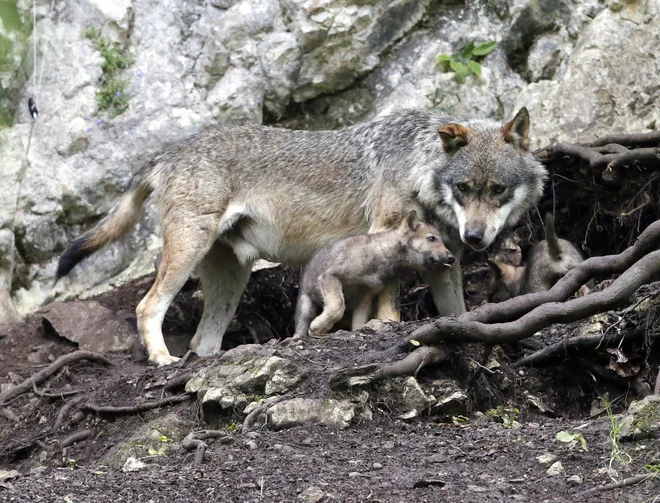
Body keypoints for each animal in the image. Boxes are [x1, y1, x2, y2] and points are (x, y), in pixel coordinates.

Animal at [55, 107, 548, 366]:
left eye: (496, 190)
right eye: (464, 188)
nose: (476, 236)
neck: (419, 164)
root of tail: (170, 151)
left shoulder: (446, 265)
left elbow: (455, 311)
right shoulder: (383, 237)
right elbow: (386, 303)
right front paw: (382, 328)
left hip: (229, 280)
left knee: (202, 342)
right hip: (187, 254)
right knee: (146, 307)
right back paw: (161, 360)